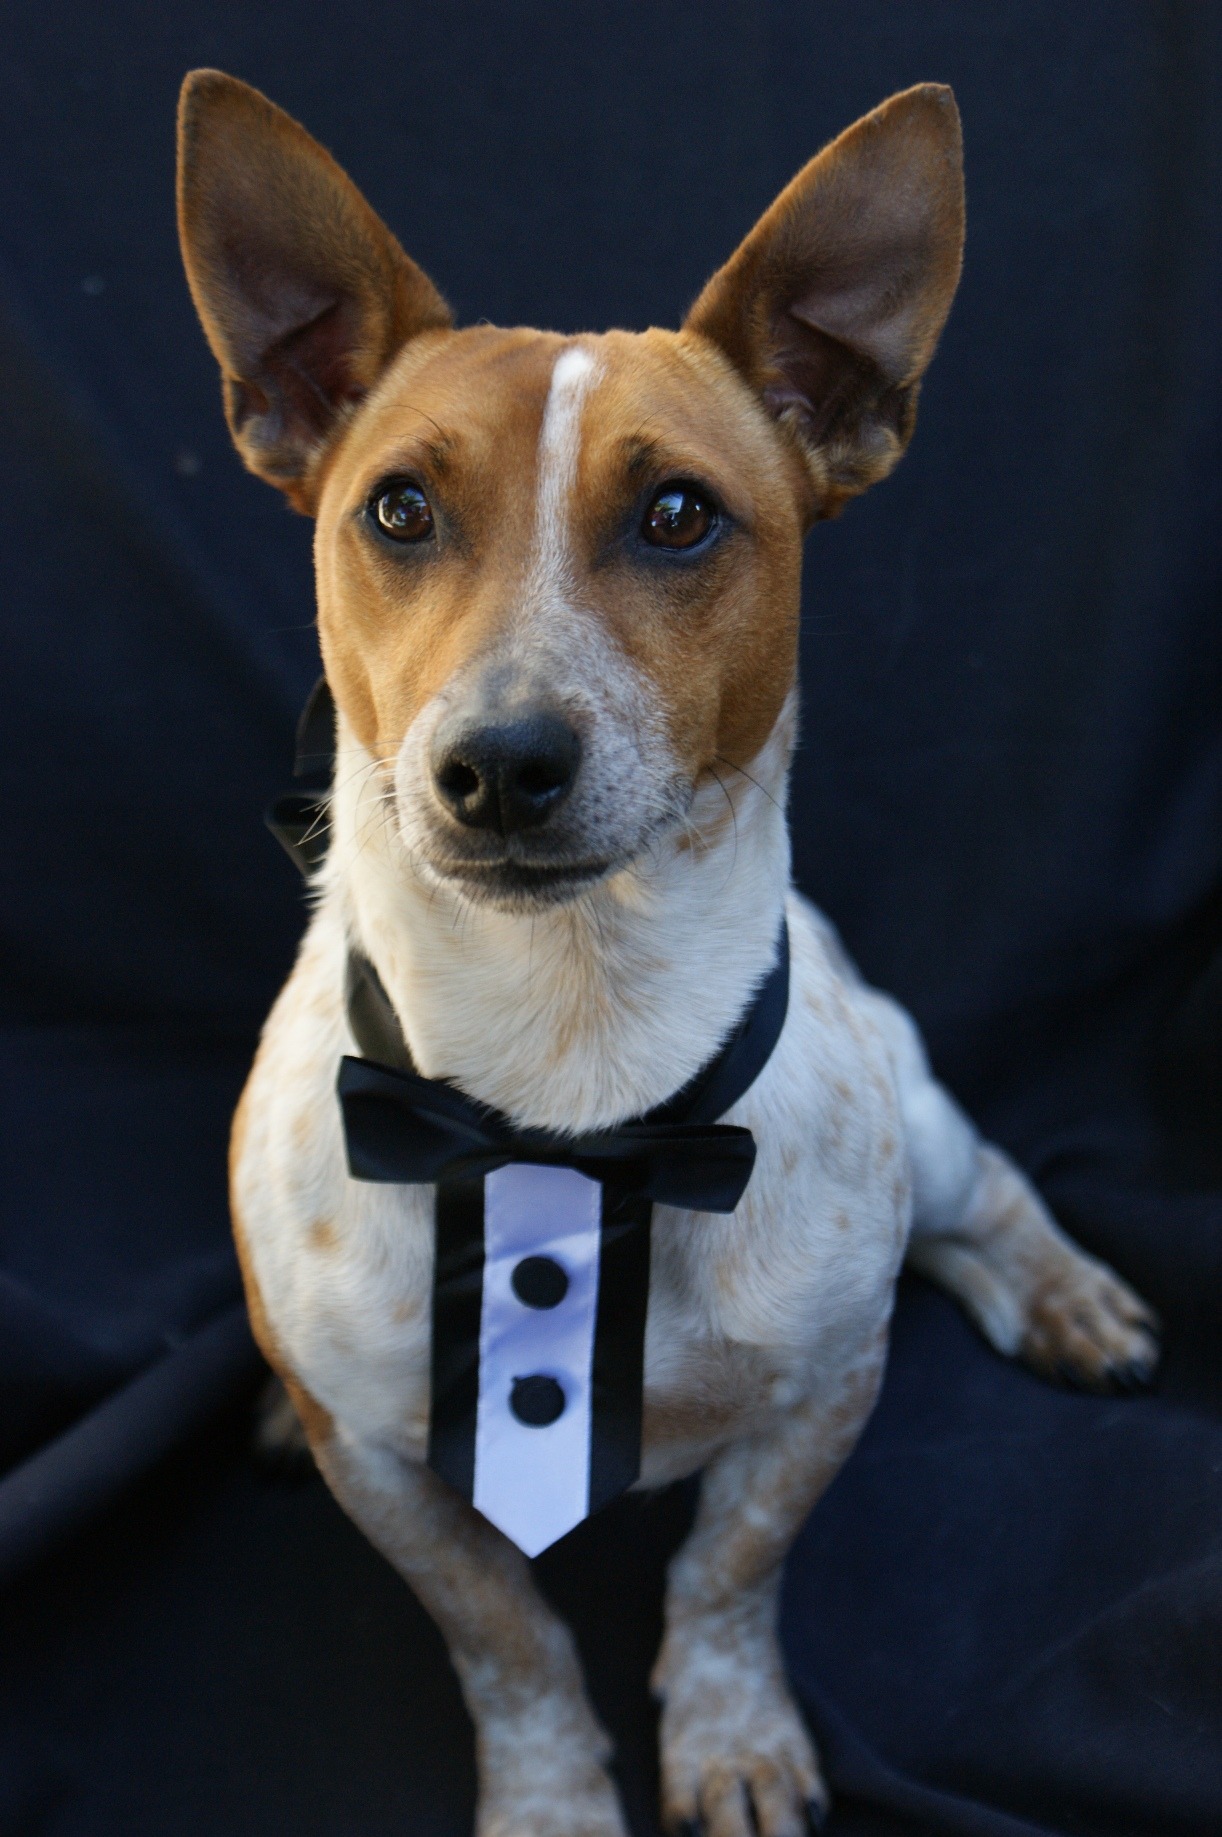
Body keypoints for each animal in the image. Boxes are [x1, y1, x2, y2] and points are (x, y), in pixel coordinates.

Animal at [177, 69, 1160, 1837]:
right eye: (397, 508)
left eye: (680, 515)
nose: (499, 762)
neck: (569, 1083)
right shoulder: (391, 1479)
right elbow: (503, 1634)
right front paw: (556, 1798)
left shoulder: (821, 1395)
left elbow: (725, 1574)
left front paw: (730, 1738)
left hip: (922, 1120)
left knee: (986, 1196)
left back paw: (1057, 1294)